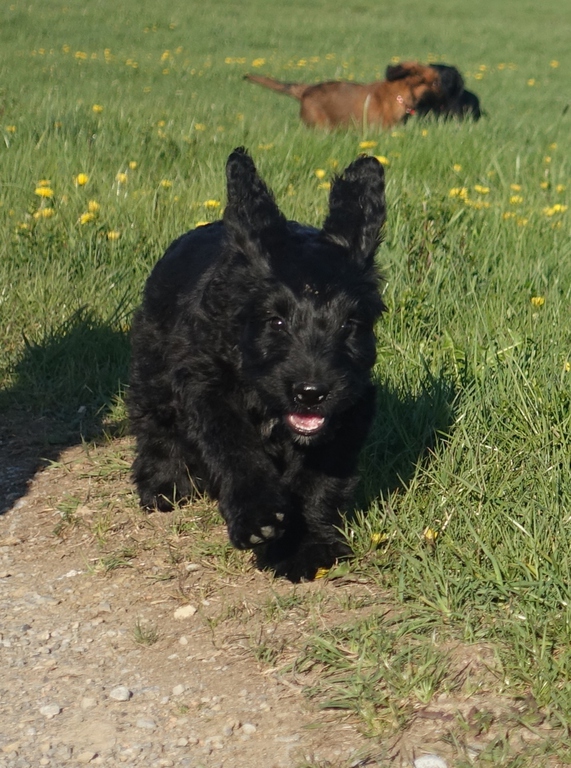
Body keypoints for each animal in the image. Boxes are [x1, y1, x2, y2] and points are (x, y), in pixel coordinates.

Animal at [128, 148, 386, 581]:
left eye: (350, 324)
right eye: (276, 322)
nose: (311, 393)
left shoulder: (347, 409)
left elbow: (317, 481)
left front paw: (305, 545)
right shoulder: (207, 387)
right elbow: (237, 450)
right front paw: (257, 519)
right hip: (153, 361)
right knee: (153, 419)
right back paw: (162, 481)